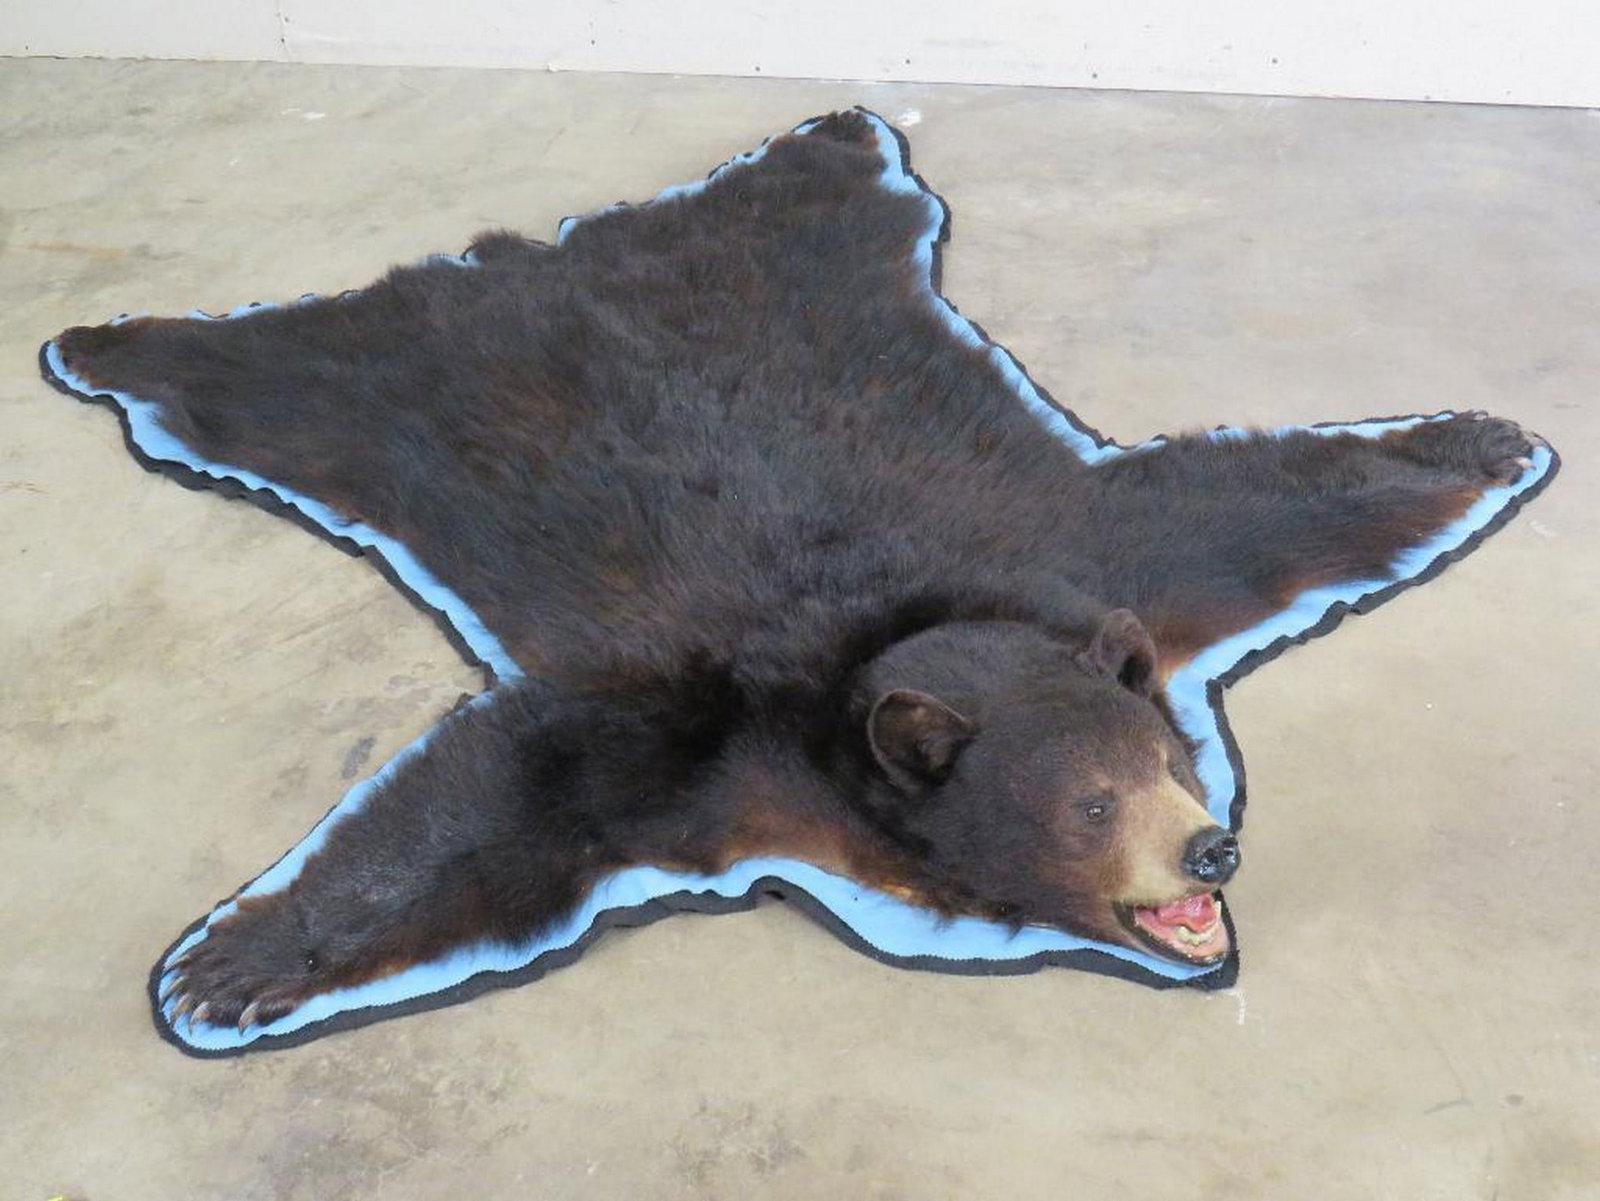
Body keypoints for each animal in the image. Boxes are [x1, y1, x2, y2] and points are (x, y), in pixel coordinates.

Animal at [46, 109, 1546, 1034]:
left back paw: (829, 130)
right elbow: (514, 785)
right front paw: (228, 965)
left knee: (818, 192)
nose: (1211, 846)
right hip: (381, 397)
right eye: (1090, 800)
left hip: (811, 256)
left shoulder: (1077, 556)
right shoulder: (700, 724)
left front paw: (1479, 437)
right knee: (257, 380)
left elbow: (1240, 511)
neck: (893, 628)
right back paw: (109, 341)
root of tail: (540, 249)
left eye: (1174, 762)